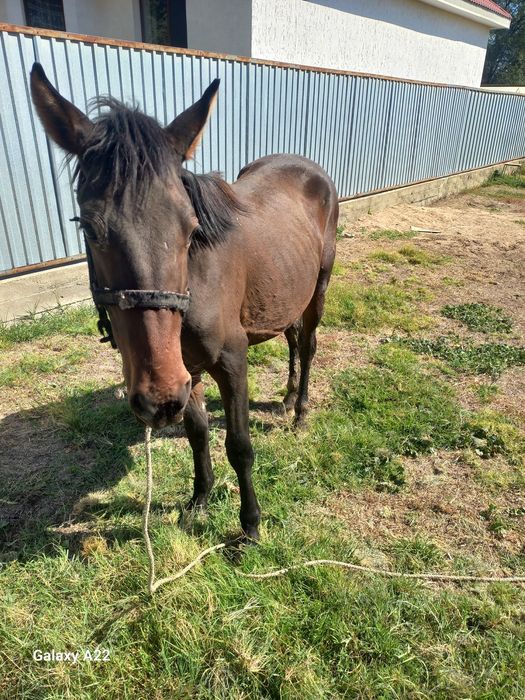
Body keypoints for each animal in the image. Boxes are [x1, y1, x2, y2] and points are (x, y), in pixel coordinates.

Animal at [30, 62, 338, 542]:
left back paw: (301, 410)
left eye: (191, 227)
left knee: (307, 346)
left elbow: (239, 445)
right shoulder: (185, 372)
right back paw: (287, 398)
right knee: (290, 337)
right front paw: (198, 501)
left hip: (318, 289)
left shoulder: (232, 360)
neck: (194, 289)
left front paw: (250, 526)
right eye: (89, 227)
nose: (156, 401)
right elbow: (198, 434)